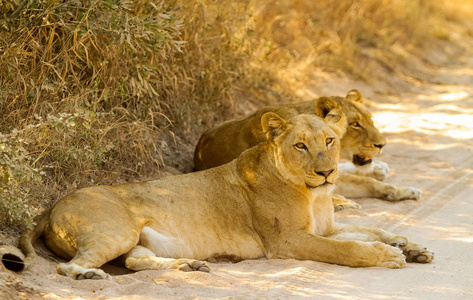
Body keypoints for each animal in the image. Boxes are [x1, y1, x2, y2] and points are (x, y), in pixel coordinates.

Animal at [17, 110, 432, 282]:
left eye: (329, 141)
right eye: (300, 145)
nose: (327, 172)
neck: (313, 195)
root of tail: (51, 206)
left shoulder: (323, 229)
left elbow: (371, 231)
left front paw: (411, 247)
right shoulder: (287, 241)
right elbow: (348, 247)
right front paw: (388, 255)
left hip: (134, 241)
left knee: (136, 261)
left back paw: (191, 266)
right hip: (115, 231)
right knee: (67, 267)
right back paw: (88, 275)